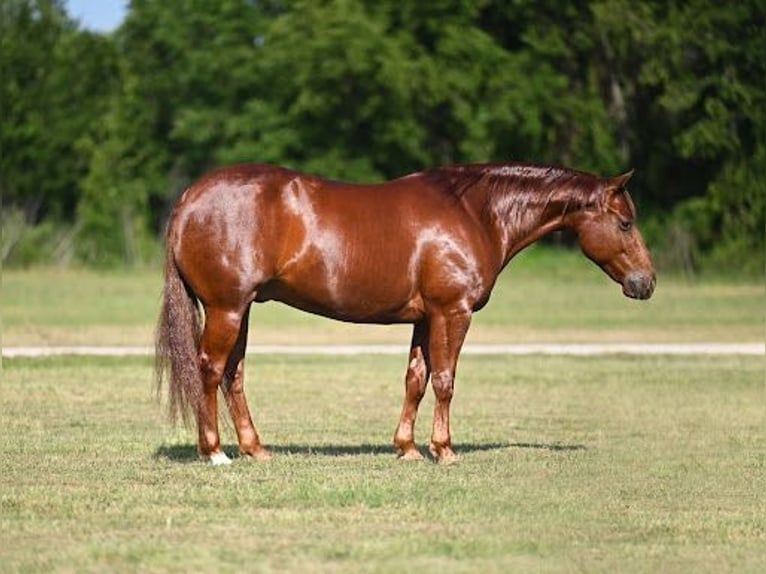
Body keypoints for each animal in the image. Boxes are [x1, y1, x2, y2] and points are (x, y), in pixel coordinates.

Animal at [155, 162, 655, 465]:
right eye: (625, 223)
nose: (646, 283)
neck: (475, 213)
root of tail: (189, 198)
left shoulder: (424, 319)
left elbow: (416, 379)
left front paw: (408, 448)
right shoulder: (453, 313)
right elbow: (446, 381)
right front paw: (444, 450)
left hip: (240, 311)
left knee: (233, 374)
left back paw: (255, 449)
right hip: (226, 309)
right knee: (210, 369)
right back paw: (214, 452)